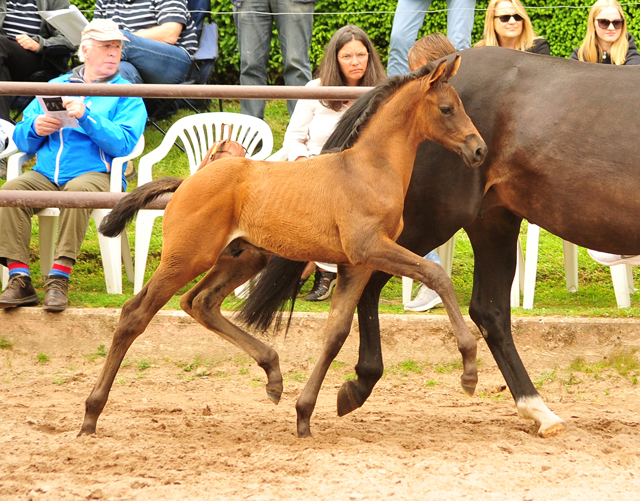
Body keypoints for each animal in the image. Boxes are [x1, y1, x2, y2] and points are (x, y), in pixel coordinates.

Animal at [242, 47, 640, 438]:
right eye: (447, 109)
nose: (478, 149)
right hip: (424, 224)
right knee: (381, 288)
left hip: (490, 223)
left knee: (488, 310)